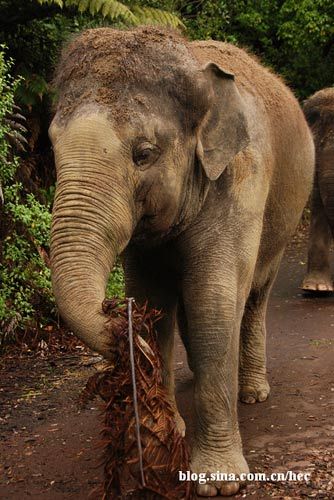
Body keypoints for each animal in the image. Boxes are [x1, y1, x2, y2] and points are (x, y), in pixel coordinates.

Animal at [49, 26, 314, 496]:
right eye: (51, 147)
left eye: (144, 154)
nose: (119, 320)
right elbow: (154, 299)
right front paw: (159, 435)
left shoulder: (242, 182)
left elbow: (213, 303)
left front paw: (218, 483)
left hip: (284, 221)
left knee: (254, 297)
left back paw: (253, 393)